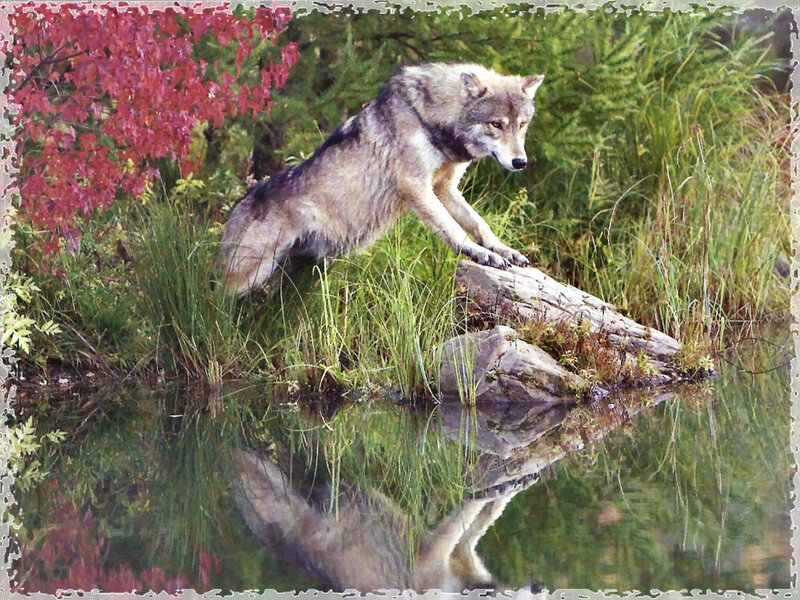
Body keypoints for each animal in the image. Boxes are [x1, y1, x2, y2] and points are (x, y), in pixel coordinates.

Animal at [216, 62, 544, 295]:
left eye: (522, 124)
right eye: (496, 124)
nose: (520, 162)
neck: (431, 119)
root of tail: (240, 205)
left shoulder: (445, 188)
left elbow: (479, 223)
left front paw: (503, 250)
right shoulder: (415, 187)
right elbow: (453, 229)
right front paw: (481, 254)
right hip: (249, 275)